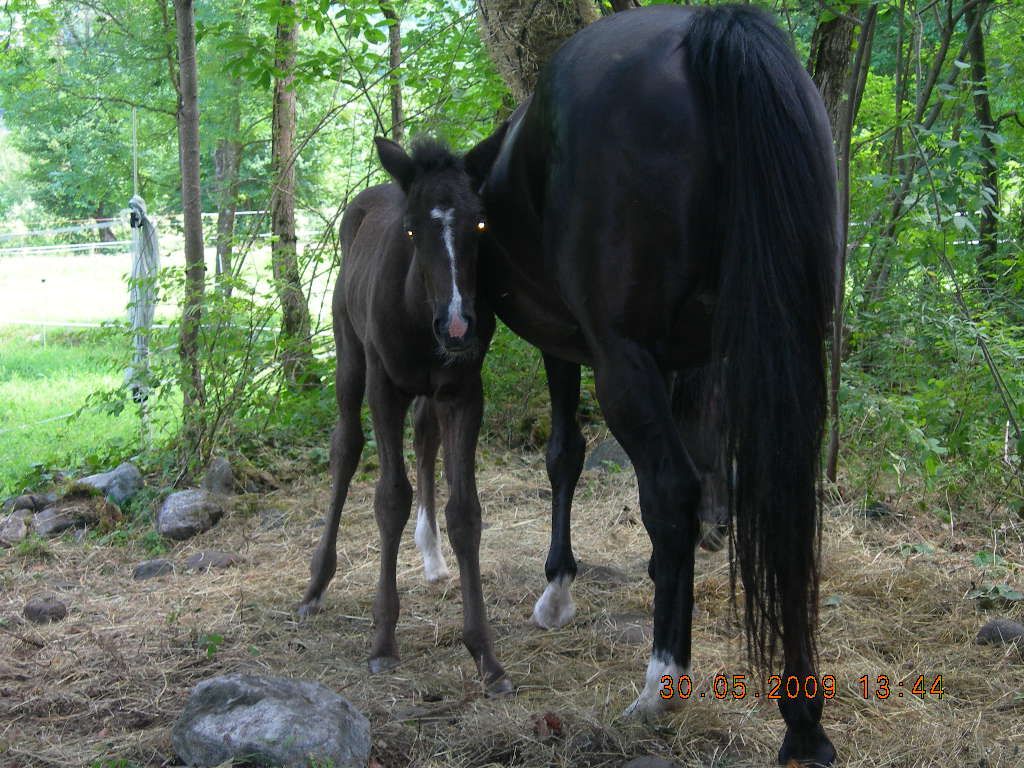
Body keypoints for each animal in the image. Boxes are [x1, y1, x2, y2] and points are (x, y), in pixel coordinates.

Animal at [299, 132, 514, 696]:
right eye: (413, 229)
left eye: (479, 222)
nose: (457, 325)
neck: (419, 309)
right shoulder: (385, 387)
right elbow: (390, 498)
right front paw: (382, 641)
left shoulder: (463, 390)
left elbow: (466, 512)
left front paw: (485, 655)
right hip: (349, 354)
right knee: (346, 446)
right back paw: (315, 584)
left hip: (431, 390)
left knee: (424, 434)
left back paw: (432, 557)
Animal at [476, 5, 838, 765]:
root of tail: (709, 29)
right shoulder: (690, 360)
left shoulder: (574, 346)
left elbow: (565, 456)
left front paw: (558, 589)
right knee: (779, 494)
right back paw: (804, 723)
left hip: (621, 364)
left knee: (672, 492)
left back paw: (661, 684)